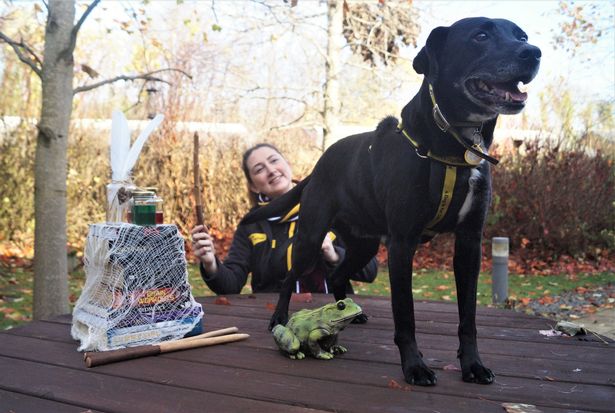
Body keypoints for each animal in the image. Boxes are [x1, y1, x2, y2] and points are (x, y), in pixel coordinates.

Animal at [243, 16, 540, 384]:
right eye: (481, 36)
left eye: (521, 36)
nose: (533, 52)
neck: (454, 147)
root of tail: (316, 168)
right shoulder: (402, 243)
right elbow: (405, 314)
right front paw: (415, 366)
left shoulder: (470, 243)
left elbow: (468, 316)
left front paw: (472, 365)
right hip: (311, 237)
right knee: (288, 279)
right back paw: (279, 319)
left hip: (365, 244)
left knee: (338, 275)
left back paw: (349, 312)